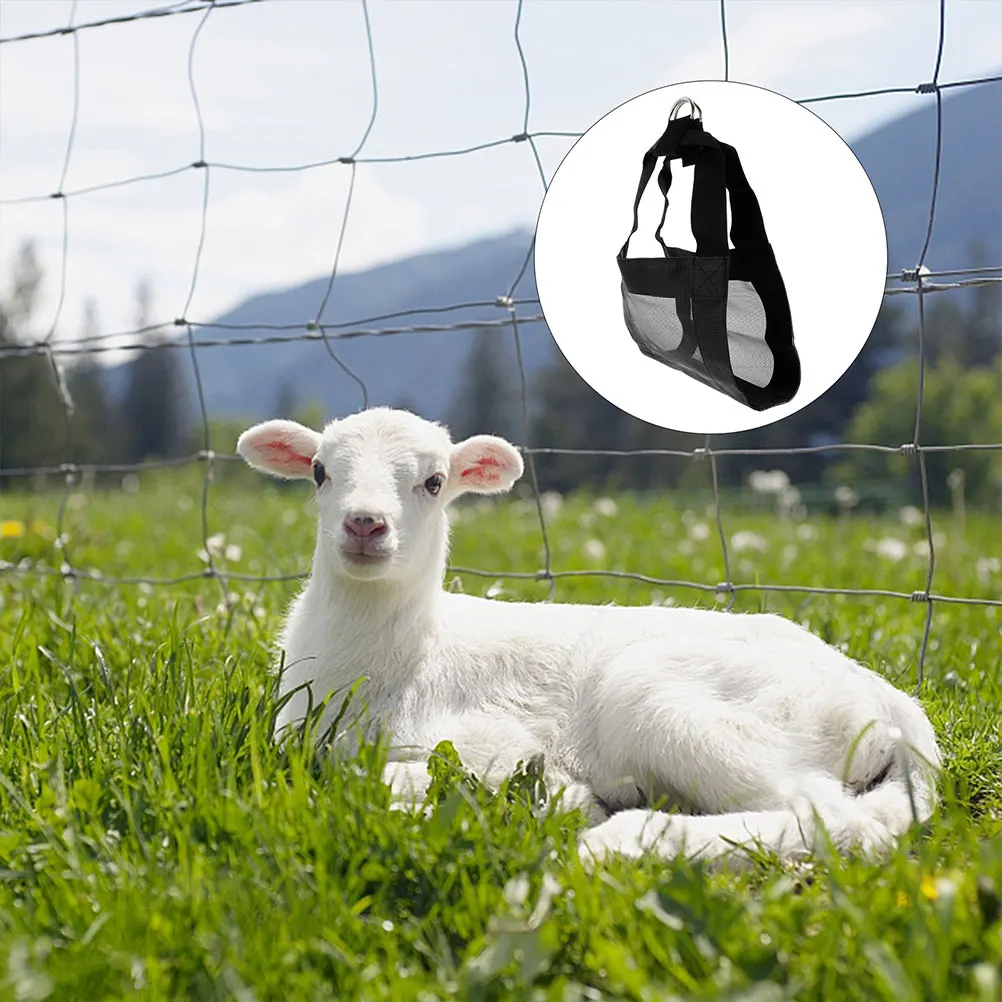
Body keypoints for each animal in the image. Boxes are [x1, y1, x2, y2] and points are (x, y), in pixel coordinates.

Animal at [237, 407, 940, 864]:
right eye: (320, 472)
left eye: (434, 482)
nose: (364, 524)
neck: (399, 655)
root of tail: (898, 709)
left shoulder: (490, 738)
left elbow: (382, 778)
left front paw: (556, 799)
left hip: (674, 704)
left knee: (839, 819)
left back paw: (624, 841)